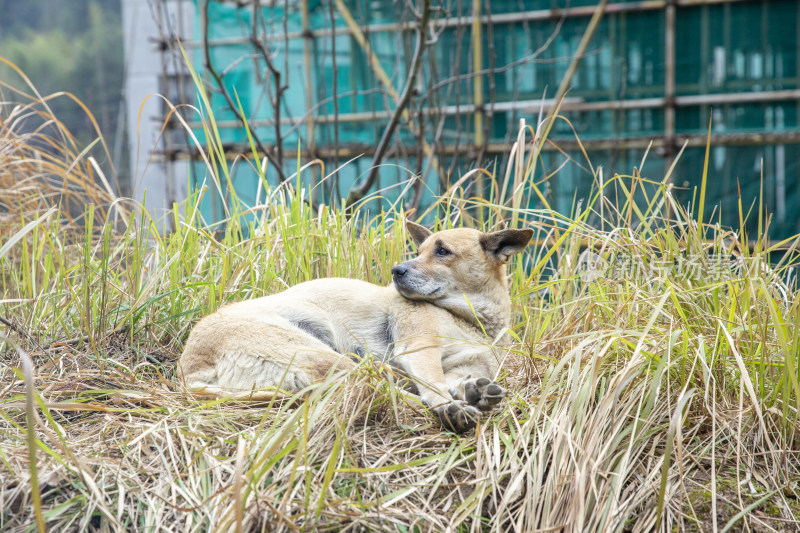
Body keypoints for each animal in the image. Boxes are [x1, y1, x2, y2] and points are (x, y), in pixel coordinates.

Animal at [178, 221, 536, 432]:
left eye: (443, 251)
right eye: (419, 251)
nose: (397, 271)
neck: (472, 321)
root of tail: (189, 370)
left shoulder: (462, 365)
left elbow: (458, 379)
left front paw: (473, 389)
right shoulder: (419, 351)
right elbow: (433, 387)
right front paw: (450, 405)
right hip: (329, 357)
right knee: (383, 392)